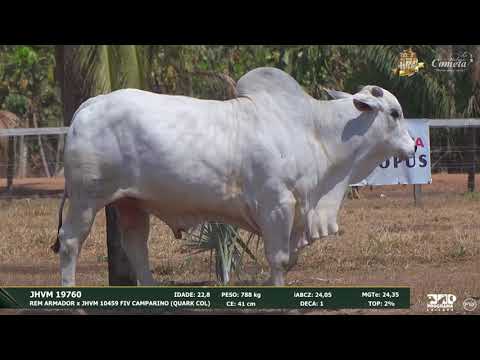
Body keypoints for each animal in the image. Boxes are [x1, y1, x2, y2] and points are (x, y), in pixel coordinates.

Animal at [51, 67, 412, 286]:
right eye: (395, 113)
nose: (412, 145)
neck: (315, 132)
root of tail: (91, 104)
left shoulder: (298, 212)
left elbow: (291, 259)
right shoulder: (277, 206)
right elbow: (279, 259)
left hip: (131, 203)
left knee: (136, 247)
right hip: (86, 199)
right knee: (70, 243)